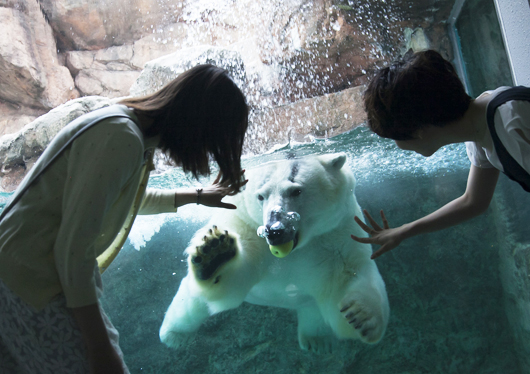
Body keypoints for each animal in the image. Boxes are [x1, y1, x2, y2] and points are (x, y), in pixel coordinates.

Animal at [160, 153, 388, 352]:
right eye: (261, 195)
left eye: (296, 191)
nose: (274, 230)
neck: (299, 245)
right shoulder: (247, 226)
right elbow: (236, 280)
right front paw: (215, 255)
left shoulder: (336, 232)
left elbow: (347, 277)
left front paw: (362, 316)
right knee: (191, 304)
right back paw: (173, 334)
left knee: (313, 309)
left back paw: (317, 340)